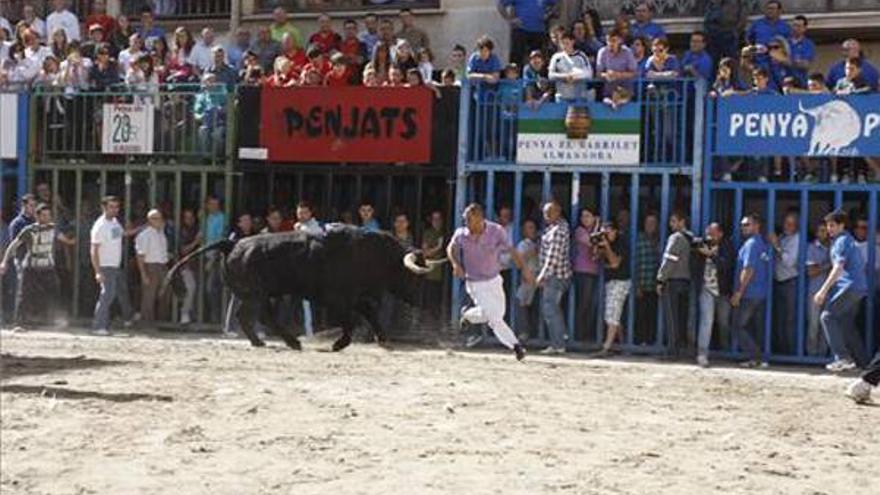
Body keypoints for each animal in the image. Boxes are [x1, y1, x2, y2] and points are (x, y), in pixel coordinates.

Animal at [162, 227, 444, 350]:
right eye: (412, 276)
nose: (420, 300)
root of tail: (233, 244)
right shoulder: (338, 298)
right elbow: (351, 320)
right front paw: (339, 343)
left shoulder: (356, 297)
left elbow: (369, 314)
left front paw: (383, 338)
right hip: (256, 295)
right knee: (256, 315)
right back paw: (288, 341)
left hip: (258, 295)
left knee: (254, 316)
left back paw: (270, 341)